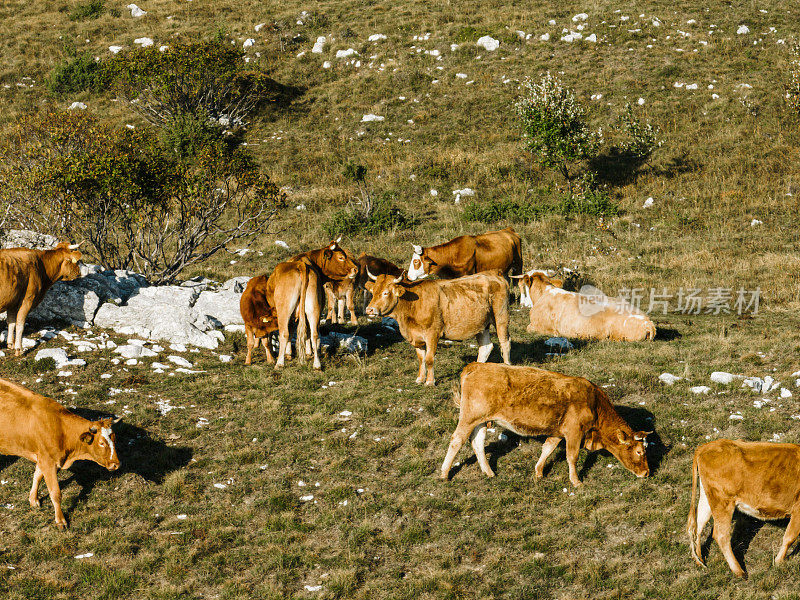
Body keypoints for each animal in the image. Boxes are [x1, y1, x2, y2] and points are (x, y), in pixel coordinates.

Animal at [0, 378, 120, 528]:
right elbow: (55, 493)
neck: (61, 429)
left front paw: (33, 500)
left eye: (114, 438)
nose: (116, 464)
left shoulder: (44, 458)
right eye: (102, 443)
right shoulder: (48, 461)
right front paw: (61, 521)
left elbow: (37, 476)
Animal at [366, 270, 510, 386]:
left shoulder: (432, 334)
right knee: (485, 347)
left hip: (501, 316)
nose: (369, 310)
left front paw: (430, 381)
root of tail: (494, 273)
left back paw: (508, 366)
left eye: (385, 293)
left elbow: (429, 359)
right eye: (373, 292)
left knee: (505, 343)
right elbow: (421, 359)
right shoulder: (417, 336)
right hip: (481, 324)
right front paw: (420, 379)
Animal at [440, 360, 652, 482]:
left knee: (477, 443)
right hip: (468, 418)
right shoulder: (574, 432)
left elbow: (548, 448)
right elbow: (572, 456)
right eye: (639, 451)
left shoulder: (558, 431)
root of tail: (476, 365)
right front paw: (576, 481)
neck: (594, 403)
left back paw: (489, 472)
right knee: (457, 440)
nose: (647, 473)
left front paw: (539, 472)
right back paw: (444, 473)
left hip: (482, 421)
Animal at [684, 438, 800, 580]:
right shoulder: (798, 509)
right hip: (723, 502)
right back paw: (739, 571)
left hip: (707, 498)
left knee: (699, 525)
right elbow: (789, 537)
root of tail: (706, 446)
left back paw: (700, 560)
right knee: (721, 535)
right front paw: (778, 562)